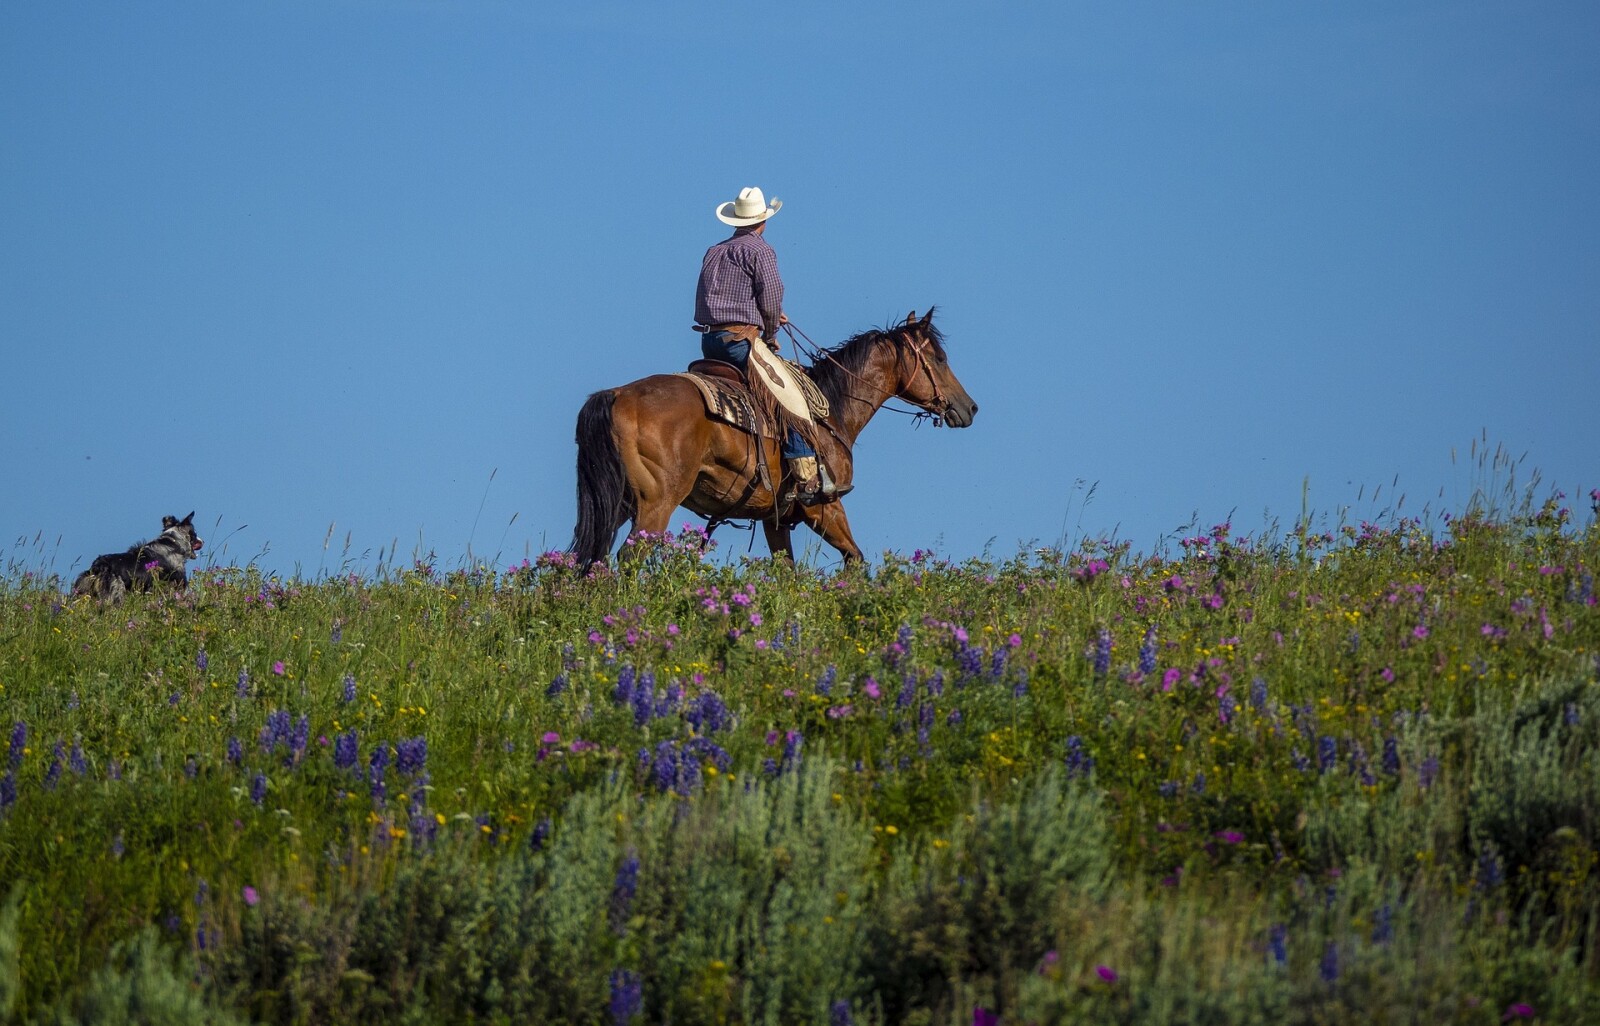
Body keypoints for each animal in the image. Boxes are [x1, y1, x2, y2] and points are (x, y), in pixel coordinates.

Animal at [569, 307, 979, 563]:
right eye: (939, 358)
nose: (970, 407)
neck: (832, 411)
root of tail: (616, 394)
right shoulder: (825, 507)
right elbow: (855, 559)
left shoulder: (775, 519)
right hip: (656, 504)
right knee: (627, 558)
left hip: (617, 504)